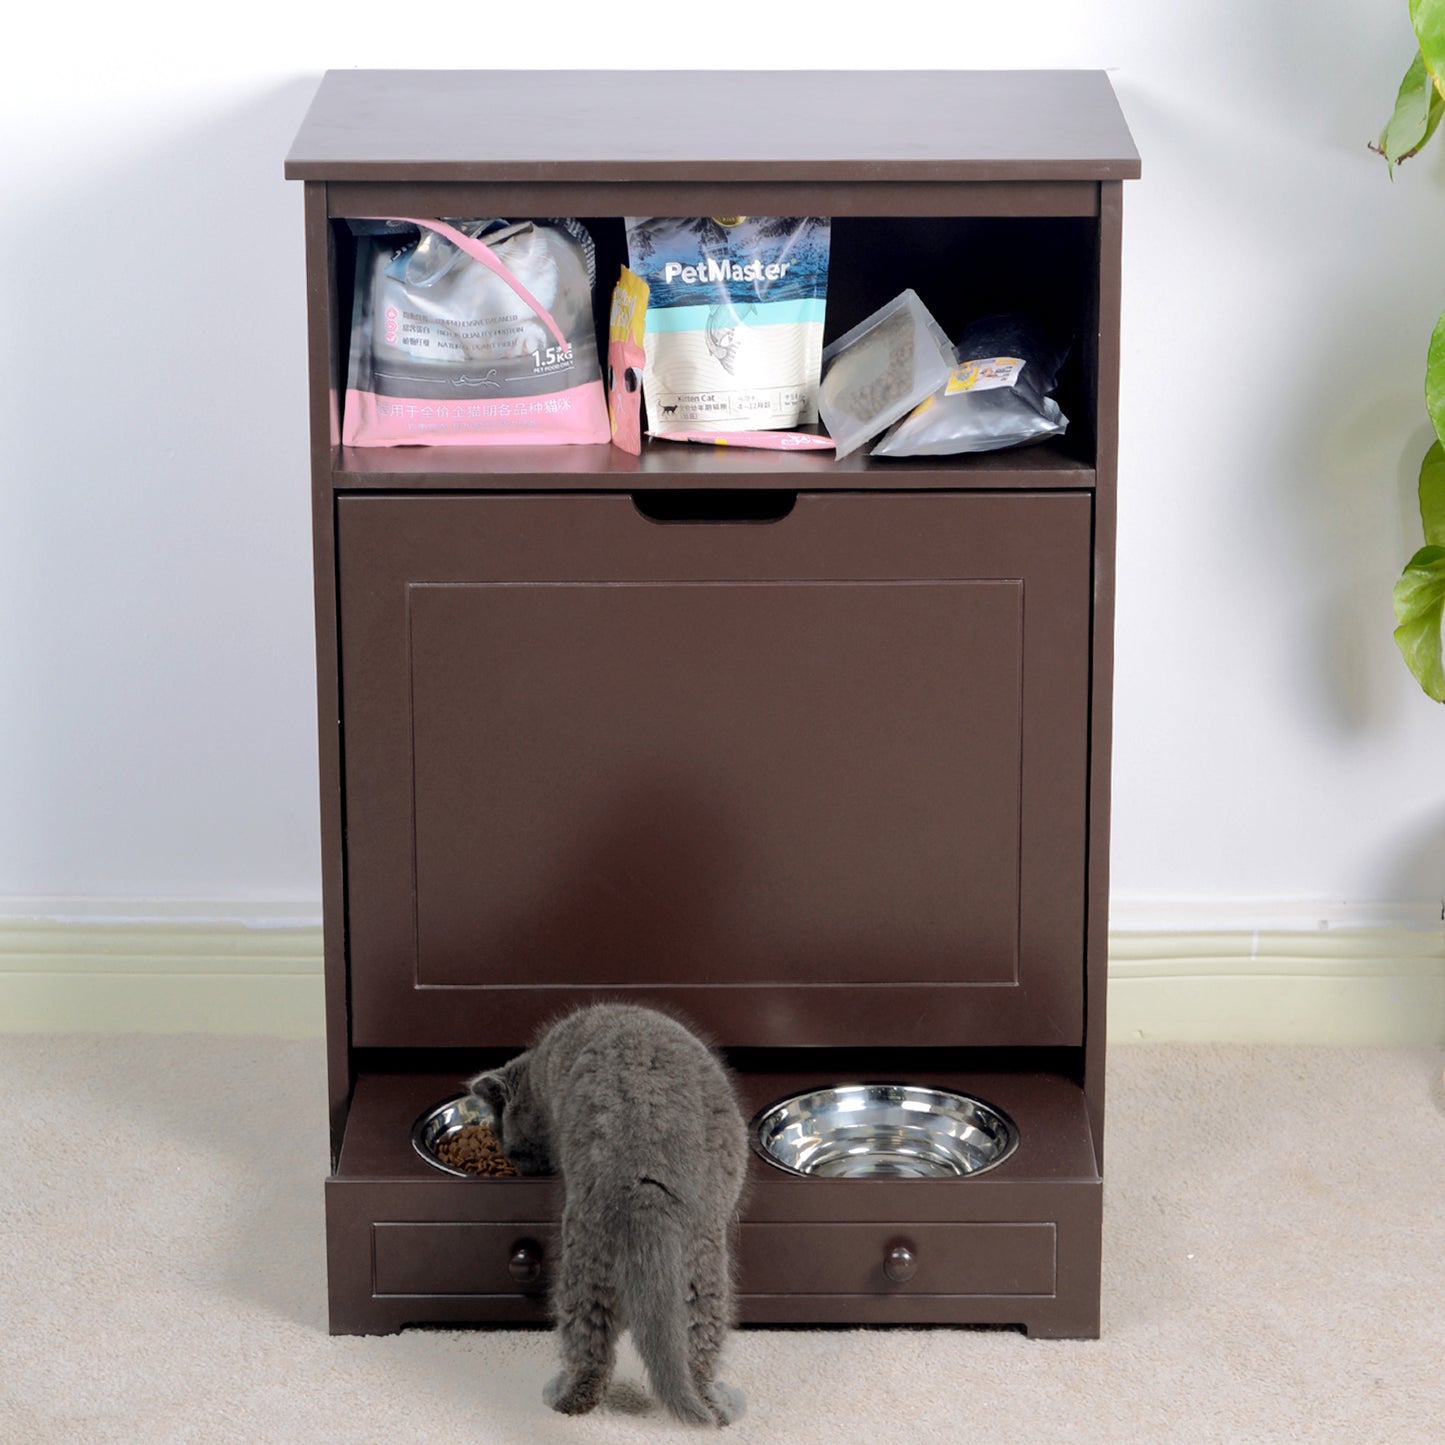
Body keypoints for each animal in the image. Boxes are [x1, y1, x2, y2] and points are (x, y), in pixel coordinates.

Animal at [471, 1005, 751, 1421]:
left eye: (508, 1142)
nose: (511, 1160)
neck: (543, 1070)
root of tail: (645, 1181)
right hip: (699, 1269)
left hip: (597, 1263)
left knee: (594, 1349)